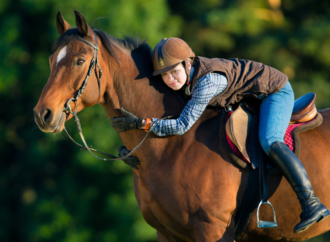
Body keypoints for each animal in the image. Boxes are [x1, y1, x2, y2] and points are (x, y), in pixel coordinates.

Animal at [32, 10, 330, 241]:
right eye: (50, 60)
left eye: (79, 61)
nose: (42, 114)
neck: (171, 148)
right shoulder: (167, 233)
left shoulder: (212, 230)